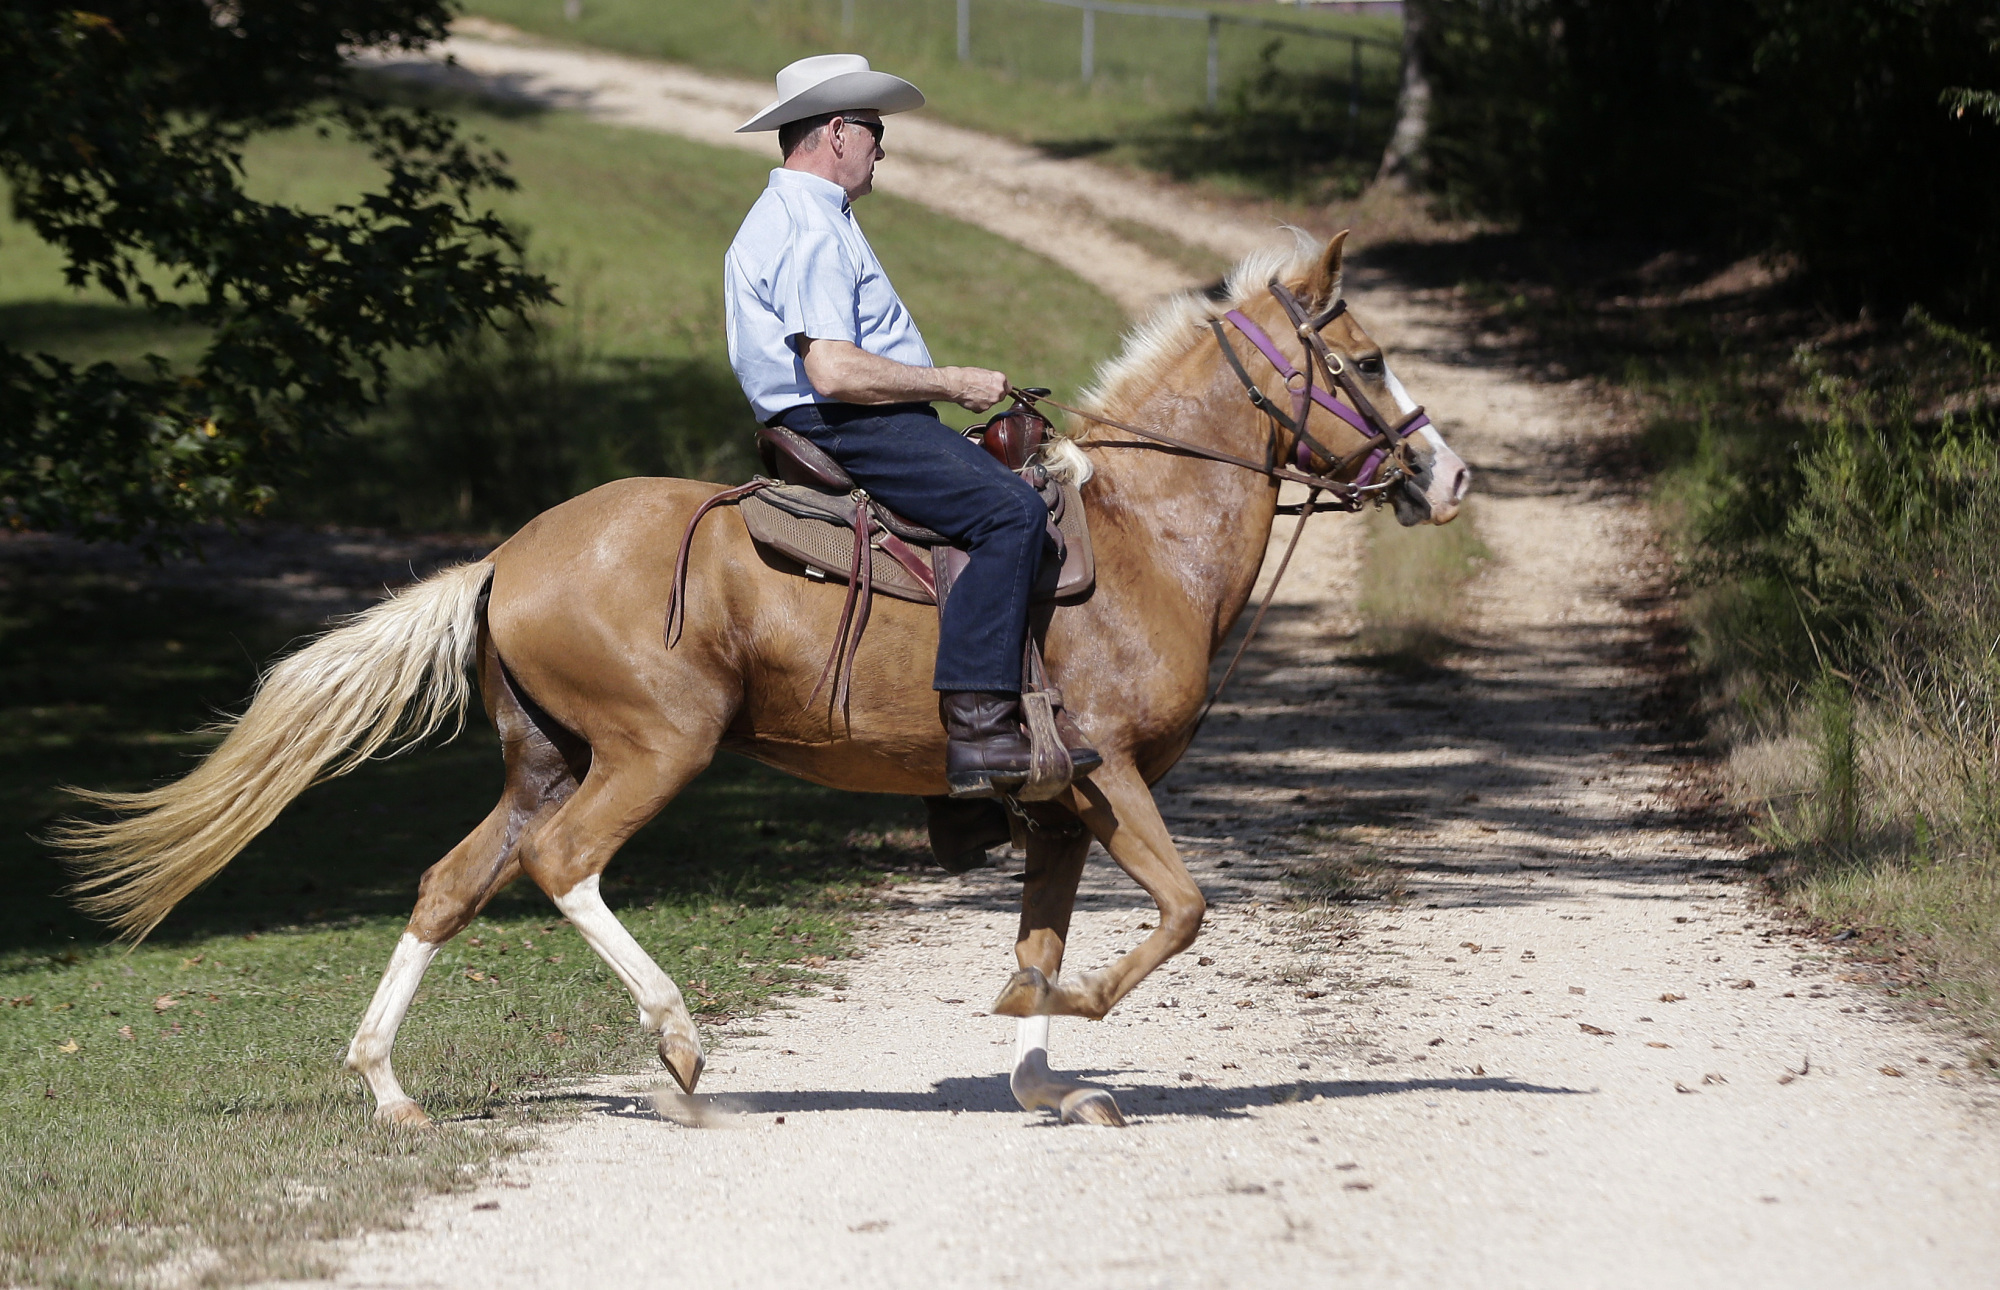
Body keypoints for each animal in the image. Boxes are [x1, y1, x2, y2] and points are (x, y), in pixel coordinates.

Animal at [66, 231, 1472, 1128]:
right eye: (1363, 363)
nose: (1446, 474)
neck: (1137, 543)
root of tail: (506, 556)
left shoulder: (1058, 805)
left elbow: (1043, 930)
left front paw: (1044, 1068)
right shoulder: (1109, 775)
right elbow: (1177, 912)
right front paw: (1066, 1009)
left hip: (544, 761)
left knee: (449, 885)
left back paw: (390, 1091)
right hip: (651, 751)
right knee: (562, 868)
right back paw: (678, 1042)